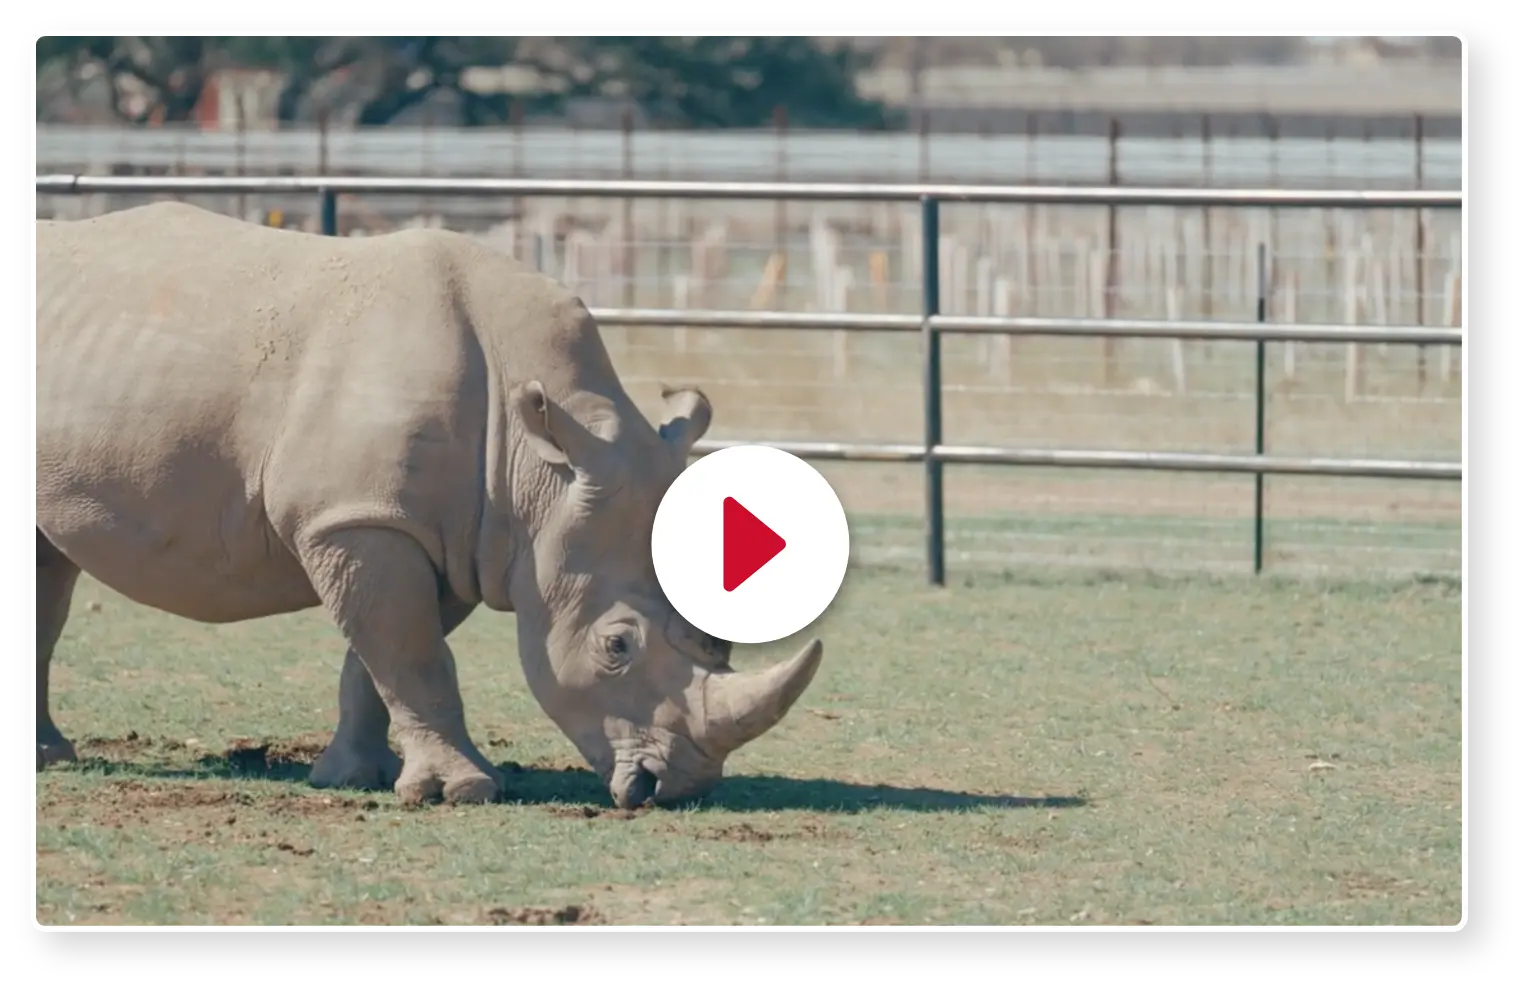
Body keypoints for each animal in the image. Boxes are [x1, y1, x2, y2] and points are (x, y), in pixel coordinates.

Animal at [34, 200, 824, 810]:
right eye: (616, 647)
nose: (679, 787)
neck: (539, 467)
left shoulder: (450, 536)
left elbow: (383, 657)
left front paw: (358, 777)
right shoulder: (360, 518)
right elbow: (411, 653)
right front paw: (461, 793)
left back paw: (52, 758)